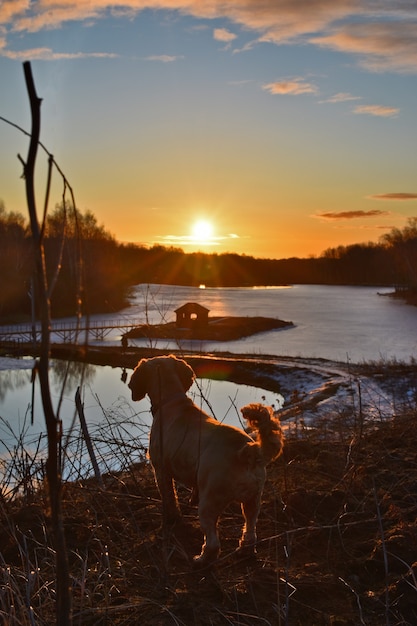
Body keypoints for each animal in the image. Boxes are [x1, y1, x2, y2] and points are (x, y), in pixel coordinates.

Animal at [127, 354, 282, 564]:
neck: (171, 401)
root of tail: (246, 451)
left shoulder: (160, 471)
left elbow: (170, 500)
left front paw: (171, 521)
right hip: (252, 502)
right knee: (250, 531)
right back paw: (244, 550)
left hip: (209, 505)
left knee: (213, 543)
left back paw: (200, 559)